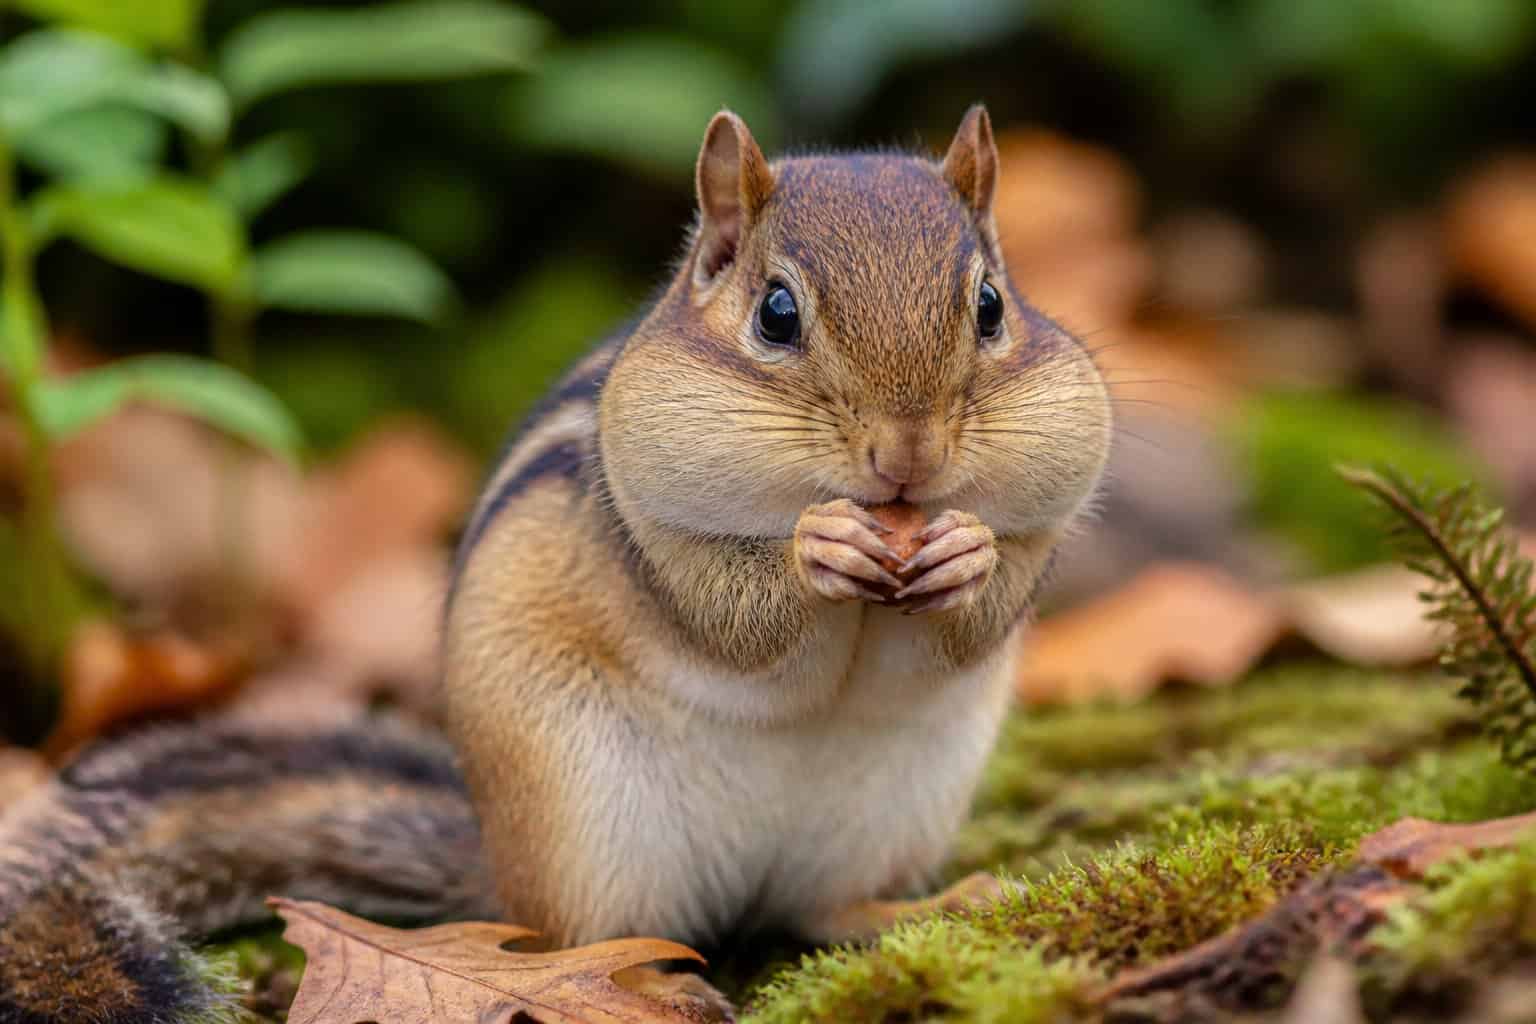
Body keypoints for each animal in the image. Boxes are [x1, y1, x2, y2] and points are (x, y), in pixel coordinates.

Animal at [0, 105, 1110, 1023]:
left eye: (993, 307)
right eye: (777, 314)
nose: (907, 457)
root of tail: (497, 863)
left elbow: (1007, 580)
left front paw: (968, 549)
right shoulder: (643, 521)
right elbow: (723, 610)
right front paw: (814, 549)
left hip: (894, 808)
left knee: (817, 908)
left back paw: (921, 906)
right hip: (585, 818)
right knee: (583, 938)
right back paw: (647, 984)